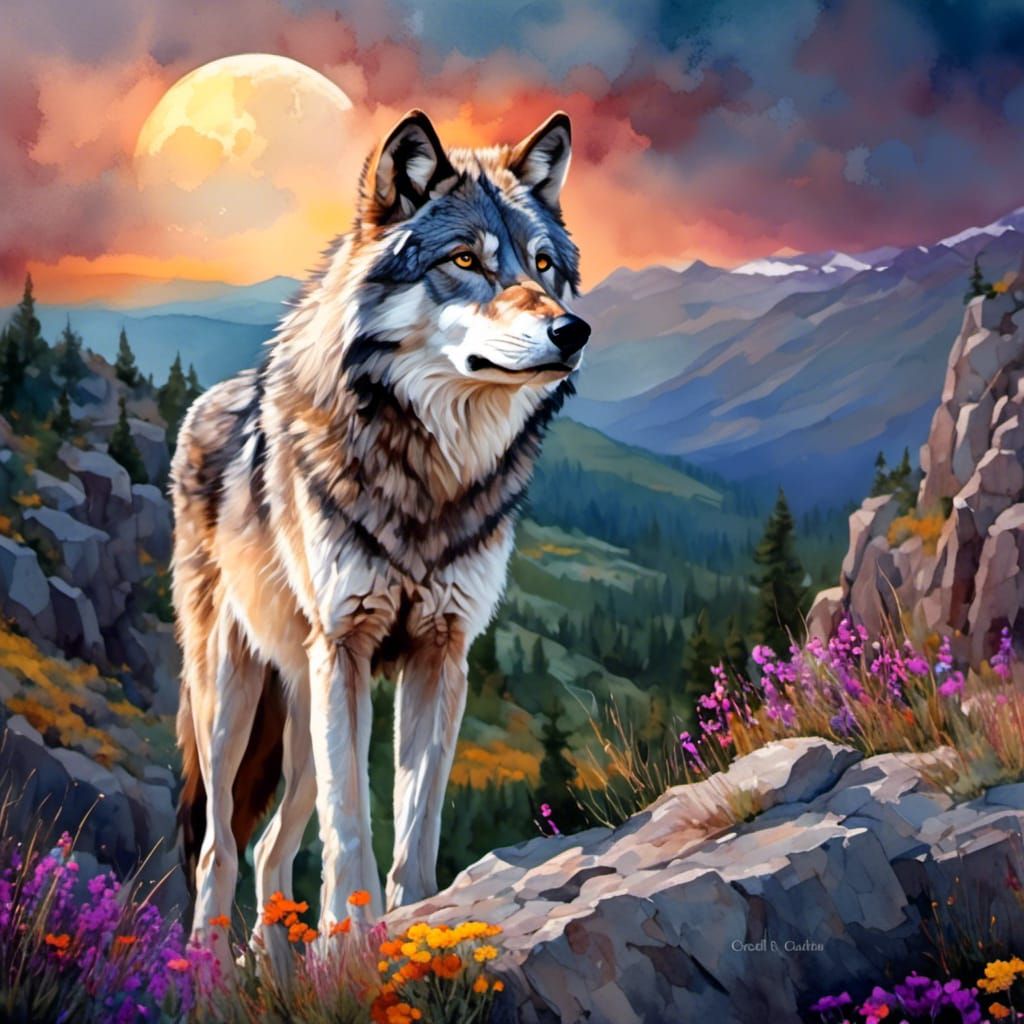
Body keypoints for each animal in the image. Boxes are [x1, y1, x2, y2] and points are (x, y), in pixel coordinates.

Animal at [171, 108, 589, 964]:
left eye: (542, 265)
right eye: (465, 260)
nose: (573, 331)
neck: (429, 474)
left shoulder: (442, 654)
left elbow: (418, 819)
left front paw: (417, 924)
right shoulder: (349, 648)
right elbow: (353, 823)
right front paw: (348, 947)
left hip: (301, 712)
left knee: (269, 850)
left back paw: (275, 966)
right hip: (233, 701)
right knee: (218, 846)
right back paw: (208, 969)